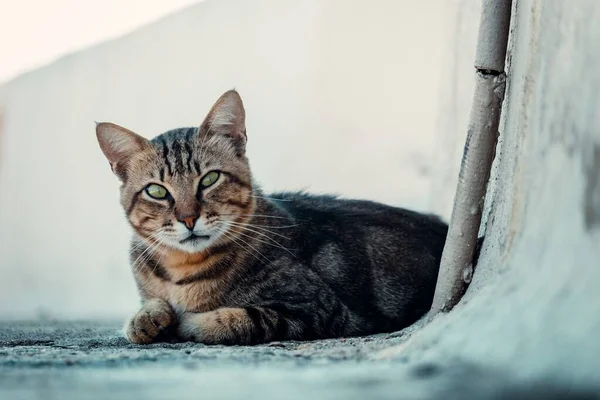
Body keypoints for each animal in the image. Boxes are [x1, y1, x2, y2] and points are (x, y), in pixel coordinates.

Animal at [96, 90, 448, 344]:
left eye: (210, 179)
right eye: (157, 191)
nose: (188, 218)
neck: (182, 272)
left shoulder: (318, 309)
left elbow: (238, 318)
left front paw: (188, 322)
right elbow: (147, 306)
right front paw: (145, 319)